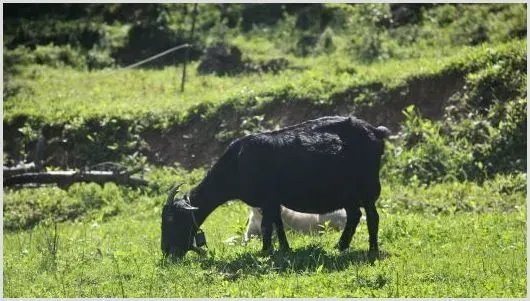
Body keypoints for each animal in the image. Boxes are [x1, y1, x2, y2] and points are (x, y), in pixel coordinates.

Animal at [161, 115, 388, 258]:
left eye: (171, 219)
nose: (165, 251)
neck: (237, 163)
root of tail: (376, 132)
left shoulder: (267, 199)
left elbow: (266, 227)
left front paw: (265, 251)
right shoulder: (272, 201)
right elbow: (277, 225)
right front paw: (284, 249)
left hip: (367, 186)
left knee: (372, 217)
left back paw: (372, 250)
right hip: (347, 194)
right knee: (355, 215)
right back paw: (340, 246)